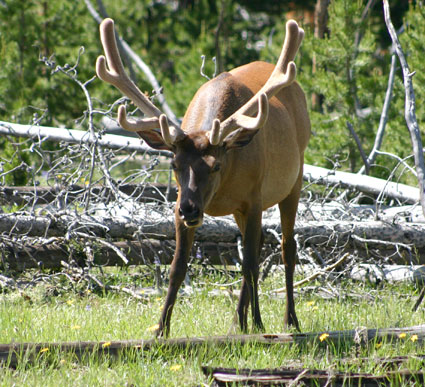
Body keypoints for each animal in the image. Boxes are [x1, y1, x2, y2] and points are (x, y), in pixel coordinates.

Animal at [96, 17, 310, 336]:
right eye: (174, 163)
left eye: (215, 165)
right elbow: (177, 266)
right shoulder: (180, 205)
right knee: (260, 243)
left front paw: (259, 324)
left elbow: (250, 265)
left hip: (294, 180)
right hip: (238, 209)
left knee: (287, 248)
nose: (190, 210)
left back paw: (289, 320)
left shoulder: (254, 198)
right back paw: (237, 321)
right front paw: (160, 329)